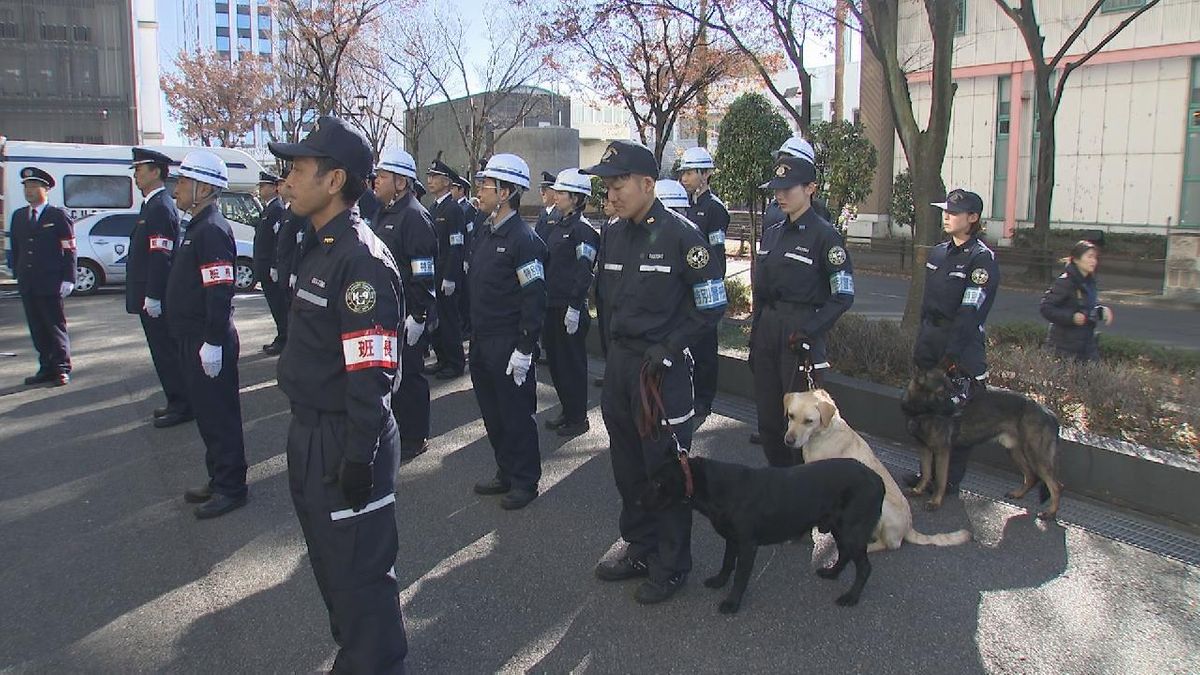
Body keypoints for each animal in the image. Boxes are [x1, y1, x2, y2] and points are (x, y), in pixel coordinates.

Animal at [643, 449, 888, 612]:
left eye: (657, 483)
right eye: (651, 479)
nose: (638, 501)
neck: (717, 488)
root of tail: (878, 479)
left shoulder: (747, 544)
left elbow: (741, 576)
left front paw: (732, 603)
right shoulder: (732, 539)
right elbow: (727, 563)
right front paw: (719, 581)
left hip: (852, 530)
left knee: (864, 567)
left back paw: (850, 597)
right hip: (840, 527)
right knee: (845, 554)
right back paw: (832, 573)